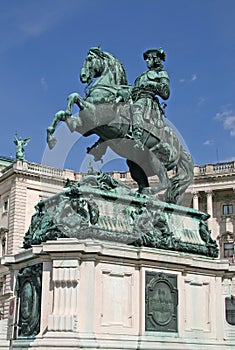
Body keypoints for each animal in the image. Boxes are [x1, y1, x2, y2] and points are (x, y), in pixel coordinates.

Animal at [46, 47, 194, 204]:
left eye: (90, 59)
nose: (83, 76)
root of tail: (180, 147)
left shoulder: (95, 116)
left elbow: (74, 97)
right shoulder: (85, 126)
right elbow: (63, 111)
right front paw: (51, 138)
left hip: (155, 156)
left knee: (165, 181)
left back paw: (146, 192)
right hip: (135, 163)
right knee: (144, 181)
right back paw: (133, 193)